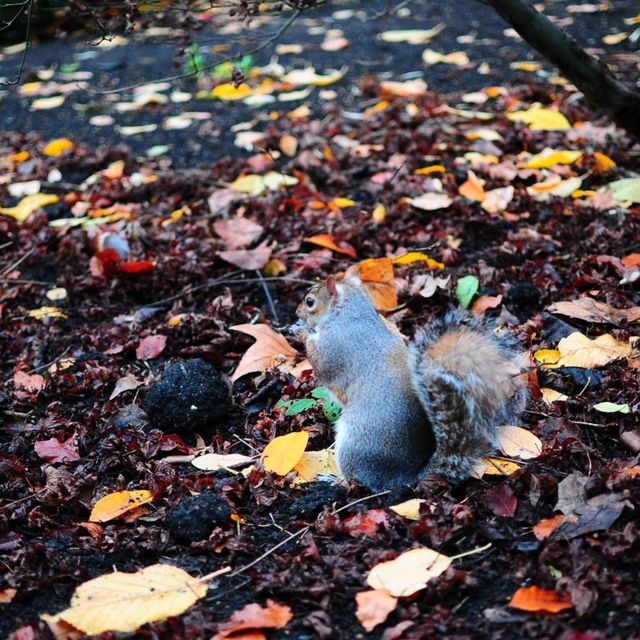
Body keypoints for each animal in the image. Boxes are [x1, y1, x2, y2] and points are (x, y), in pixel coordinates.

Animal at [292, 270, 528, 490]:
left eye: (310, 301)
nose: (296, 313)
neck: (348, 314)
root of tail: (404, 478)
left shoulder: (334, 349)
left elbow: (321, 364)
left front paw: (301, 332)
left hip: (354, 446)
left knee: (356, 481)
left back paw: (335, 480)